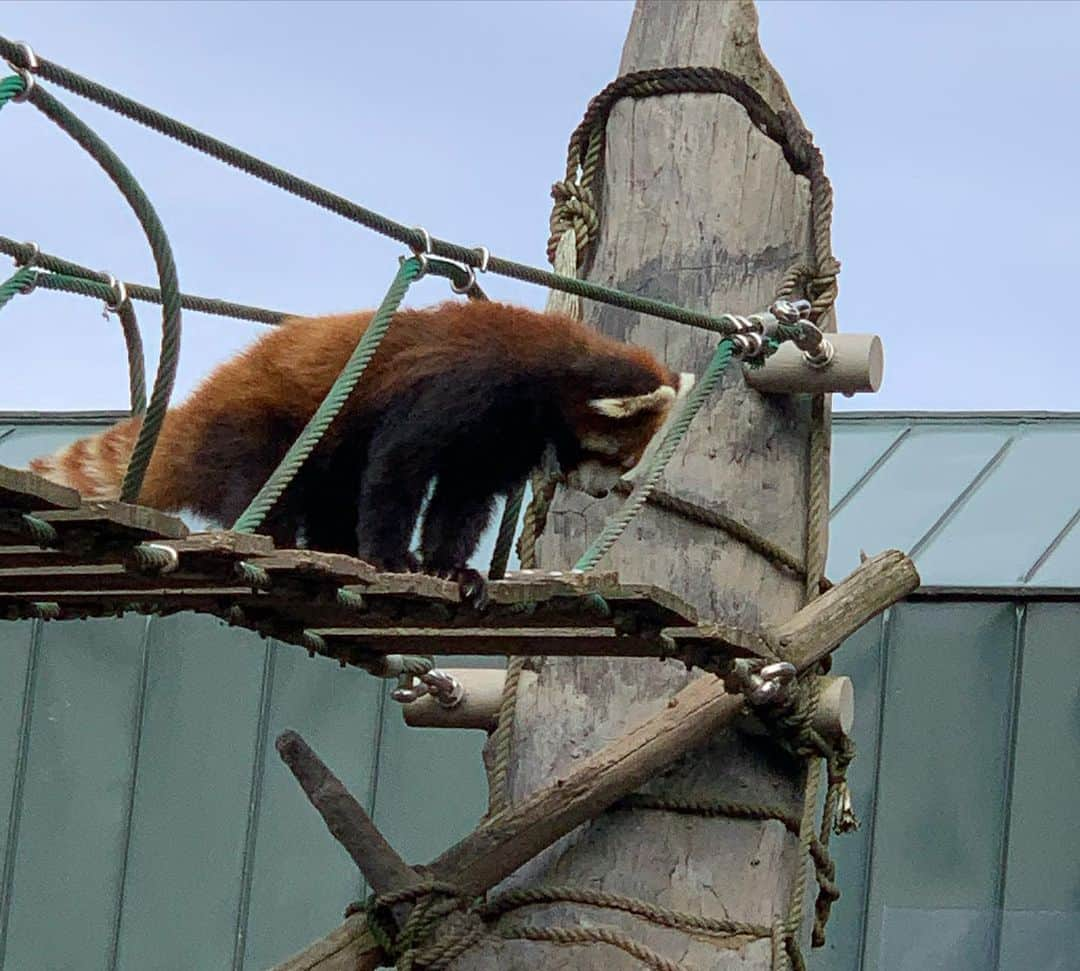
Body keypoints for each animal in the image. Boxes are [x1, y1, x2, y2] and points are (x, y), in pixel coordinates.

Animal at [31, 304, 699, 587]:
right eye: (618, 457)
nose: (607, 492)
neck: (545, 372)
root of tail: (199, 403)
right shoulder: (463, 387)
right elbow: (400, 467)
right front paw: (392, 558)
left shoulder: (499, 440)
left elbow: (463, 498)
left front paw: (450, 566)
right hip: (258, 428)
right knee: (272, 489)